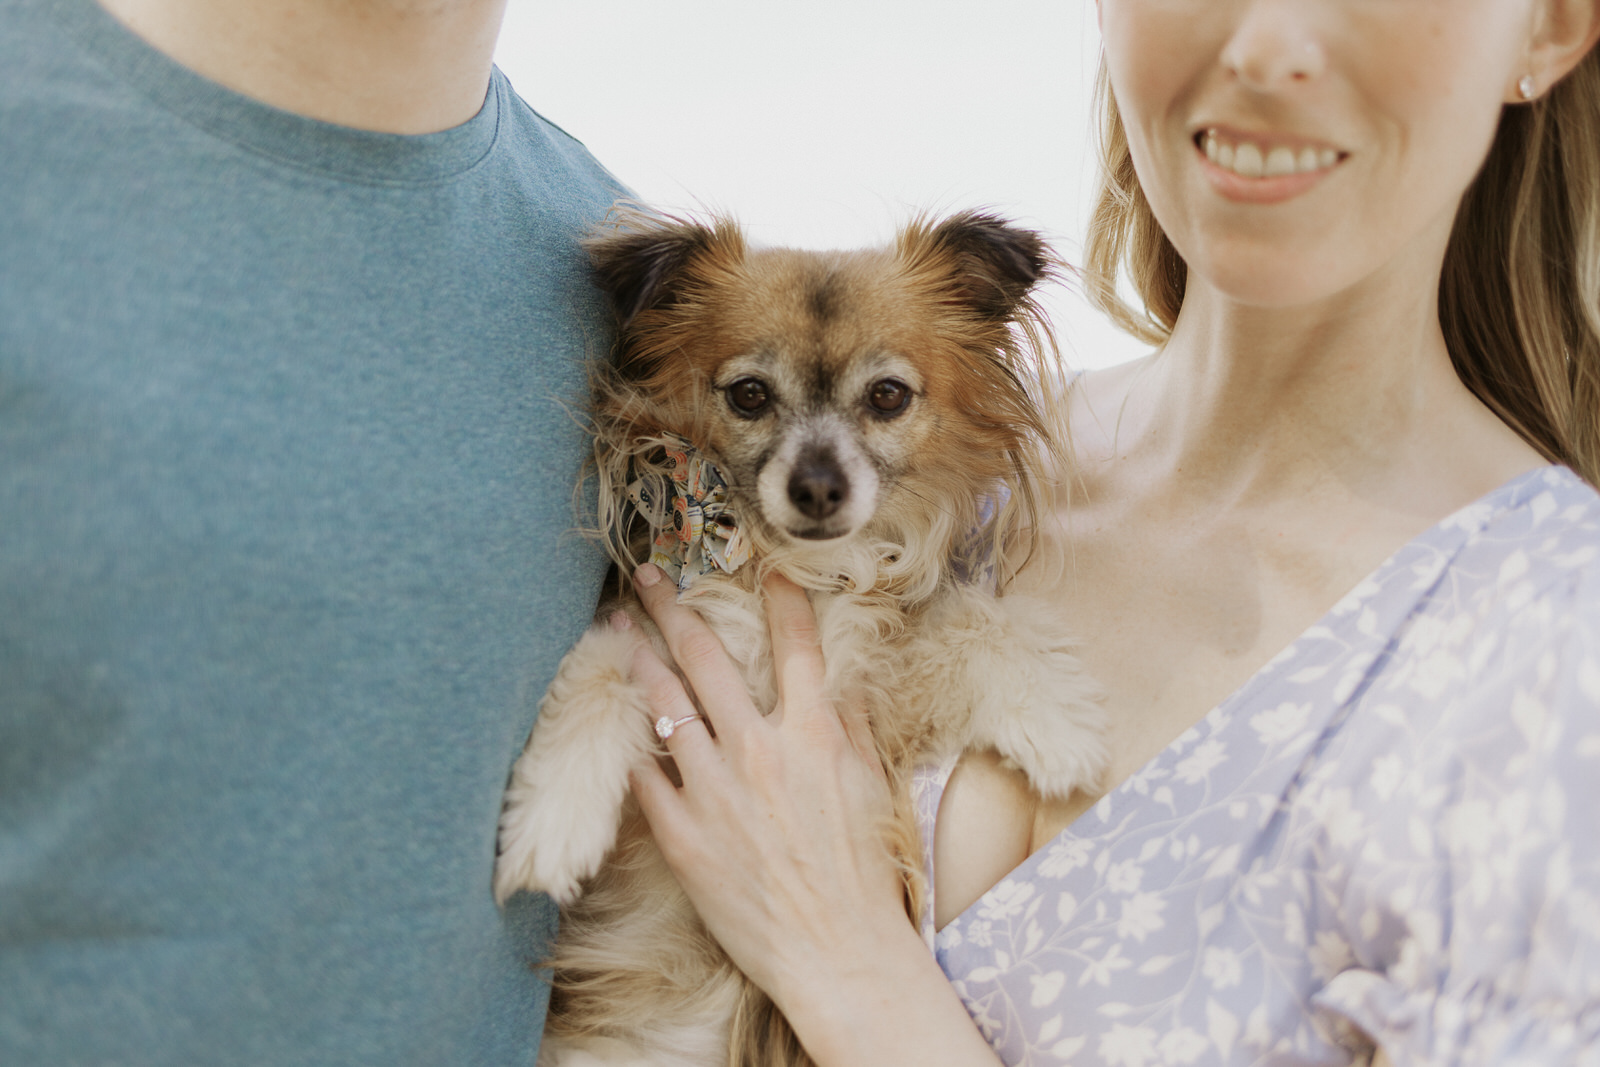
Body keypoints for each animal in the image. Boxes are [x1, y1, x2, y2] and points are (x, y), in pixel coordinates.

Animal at [492, 211, 1107, 1067]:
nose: (818, 485)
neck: (792, 572)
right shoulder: (647, 625)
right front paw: (551, 824)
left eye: (887, 395)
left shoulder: (875, 688)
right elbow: (600, 666)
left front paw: (1059, 726)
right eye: (749, 394)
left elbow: (978, 619)